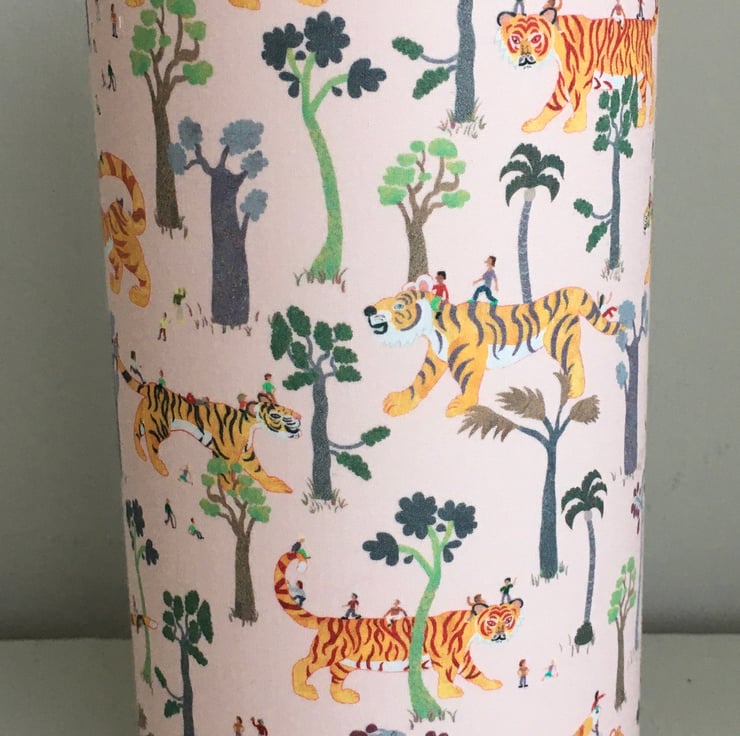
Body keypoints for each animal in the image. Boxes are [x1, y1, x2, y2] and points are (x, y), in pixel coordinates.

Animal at [115, 354, 301, 493]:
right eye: (276, 415)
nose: (299, 417)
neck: (249, 425)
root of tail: (151, 387)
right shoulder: (225, 455)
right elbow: (226, 477)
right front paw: (234, 489)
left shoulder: (247, 454)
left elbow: (259, 471)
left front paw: (275, 484)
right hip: (159, 427)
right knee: (150, 443)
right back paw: (160, 467)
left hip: (143, 416)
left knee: (135, 433)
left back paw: (140, 455)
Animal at [275, 551, 522, 704]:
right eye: (492, 622)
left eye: (508, 620)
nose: (501, 635)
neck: (471, 632)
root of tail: (326, 619)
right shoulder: (446, 659)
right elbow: (447, 677)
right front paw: (449, 693)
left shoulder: (463, 658)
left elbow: (476, 673)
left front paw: (492, 685)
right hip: (325, 653)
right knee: (300, 665)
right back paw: (305, 691)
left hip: (344, 663)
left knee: (334, 681)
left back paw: (345, 697)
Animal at [363, 287, 621, 418]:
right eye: (383, 300)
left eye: (398, 305)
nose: (368, 309)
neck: (433, 327)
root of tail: (566, 291)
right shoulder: (436, 358)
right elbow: (420, 381)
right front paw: (399, 402)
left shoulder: (469, 360)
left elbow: (469, 386)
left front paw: (460, 405)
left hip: (559, 340)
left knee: (575, 360)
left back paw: (575, 389)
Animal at [497, 7, 657, 133]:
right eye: (515, 40)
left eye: (536, 39)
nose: (525, 58)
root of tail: (646, 22)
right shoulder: (564, 79)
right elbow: (553, 104)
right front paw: (534, 124)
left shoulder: (578, 80)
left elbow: (578, 101)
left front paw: (576, 126)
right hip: (639, 76)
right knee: (643, 96)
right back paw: (641, 119)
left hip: (647, 69)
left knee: (652, 91)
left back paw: (649, 117)